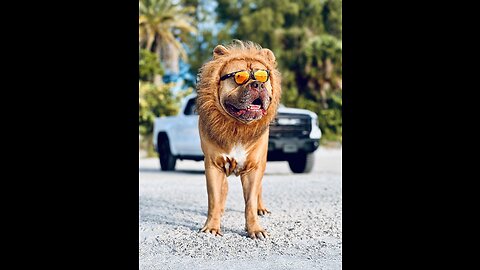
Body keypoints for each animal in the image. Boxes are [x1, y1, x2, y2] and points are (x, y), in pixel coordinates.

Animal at [195, 39, 282, 238]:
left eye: (263, 77)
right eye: (239, 77)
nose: (257, 85)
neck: (237, 127)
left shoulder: (253, 168)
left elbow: (250, 202)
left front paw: (255, 230)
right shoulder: (213, 165)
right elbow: (214, 198)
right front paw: (212, 226)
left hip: (262, 163)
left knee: (259, 190)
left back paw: (261, 208)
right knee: (222, 191)